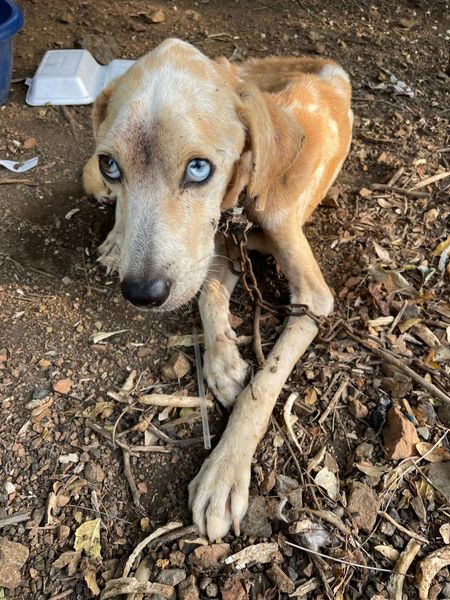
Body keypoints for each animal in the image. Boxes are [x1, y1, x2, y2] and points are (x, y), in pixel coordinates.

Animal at [82, 39, 354, 540]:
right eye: (111, 165)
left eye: (198, 168)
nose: (141, 293)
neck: (244, 200)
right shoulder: (215, 251)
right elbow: (208, 294)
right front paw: (224, 363)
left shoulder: (314, 297)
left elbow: (264, 384)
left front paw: (224, 471)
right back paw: (114, 240)